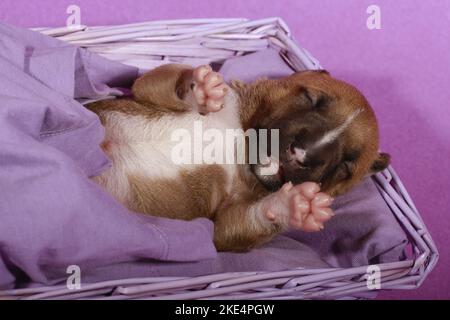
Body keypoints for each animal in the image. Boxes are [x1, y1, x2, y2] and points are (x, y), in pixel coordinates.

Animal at [86, 63, 388, 251]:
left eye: (346, 166)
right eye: (311, 99)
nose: (302, 154)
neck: (240, 143)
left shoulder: (225, 223)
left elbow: (242, 222)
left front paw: (295, 205)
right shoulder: (148, 93)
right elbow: (160, 78)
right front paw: (202, 87)